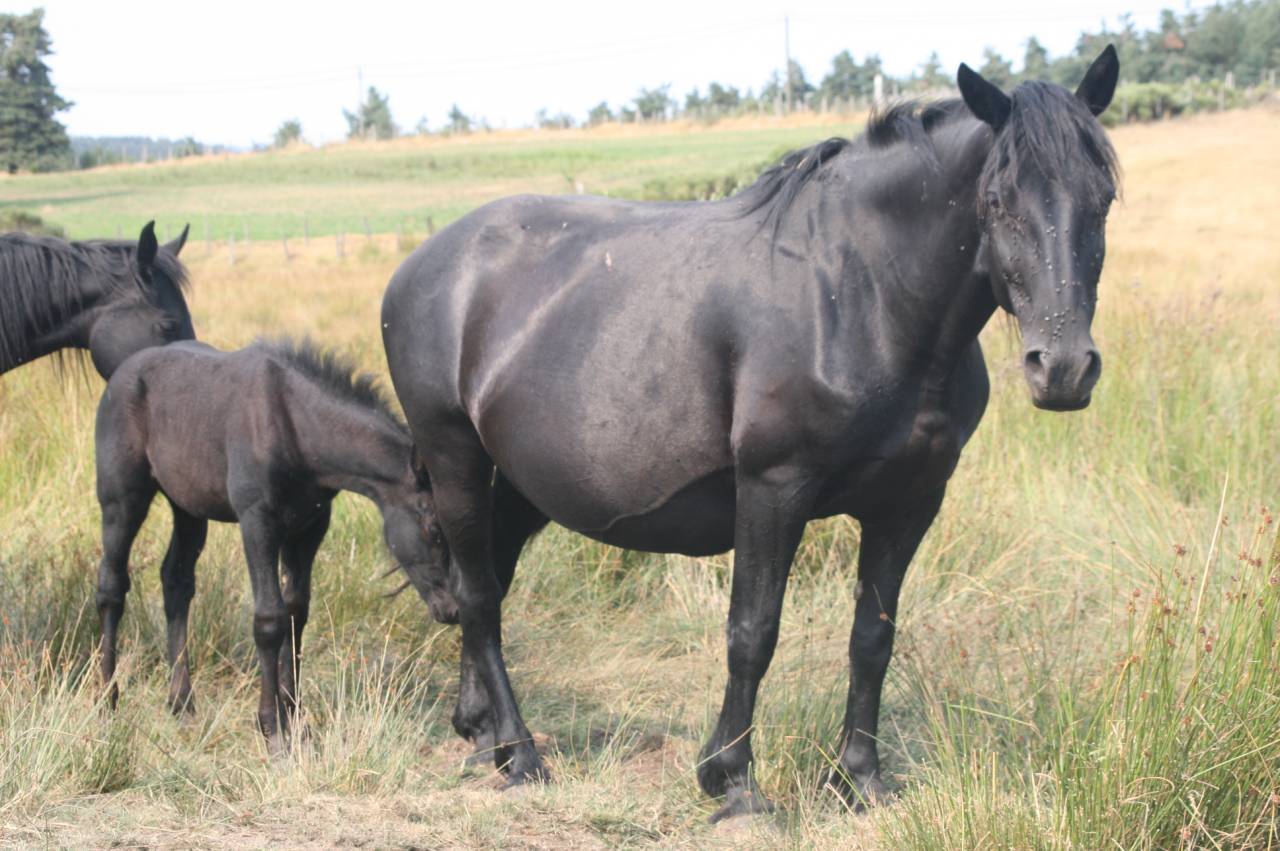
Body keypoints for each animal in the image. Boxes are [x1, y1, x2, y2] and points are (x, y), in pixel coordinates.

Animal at [93, 338, 457, 749]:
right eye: (434, 528)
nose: (452, 609)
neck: (293, 424)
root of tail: (122, 372)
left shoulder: (309, 527)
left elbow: (296, 613)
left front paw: (295, 717)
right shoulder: (258, 521)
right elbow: (270, 618)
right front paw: (272, 730)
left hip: (187, 506)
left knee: (176, 583)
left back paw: (182, 704)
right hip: (123, 498)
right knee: (111, 586)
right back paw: (107, 700)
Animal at [381, 47, 1121, 820]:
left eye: (1103, 199)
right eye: (998, 201)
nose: (1063, 367)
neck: (862, 292)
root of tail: (425, 262)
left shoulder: (910, 501)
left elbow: (873, 636)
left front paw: (860, 775)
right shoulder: (773, 488)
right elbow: (752, 631)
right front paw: (731, 777)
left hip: (525, 480)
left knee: (488, 578)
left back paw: (480, 729)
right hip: (455, 456)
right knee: (479, 595)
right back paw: (519, 753)